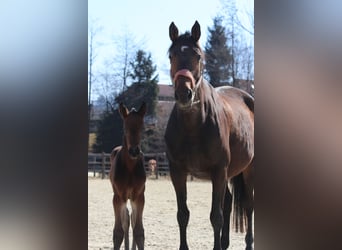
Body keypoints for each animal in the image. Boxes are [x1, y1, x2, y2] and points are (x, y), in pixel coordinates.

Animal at [109, 102, 147, 250]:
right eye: (125, 127)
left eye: (142, 127)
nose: (134, 151)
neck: (130, 168)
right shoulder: (118, 197)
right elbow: (118, 231)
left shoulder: (139, 196)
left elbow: (139, 231)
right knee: (126, 219)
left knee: (132, 218)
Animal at [166, 21, 254, 250]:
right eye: (171, 55)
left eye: (198, 56)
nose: (184, 94)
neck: (193, 127)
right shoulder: (177, 172)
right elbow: (183, 215)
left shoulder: (218, 171)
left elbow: (216, 216)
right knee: (229, 202)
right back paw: (224, 243)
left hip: (247, 170)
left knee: (248, 205)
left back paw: (249, 243)